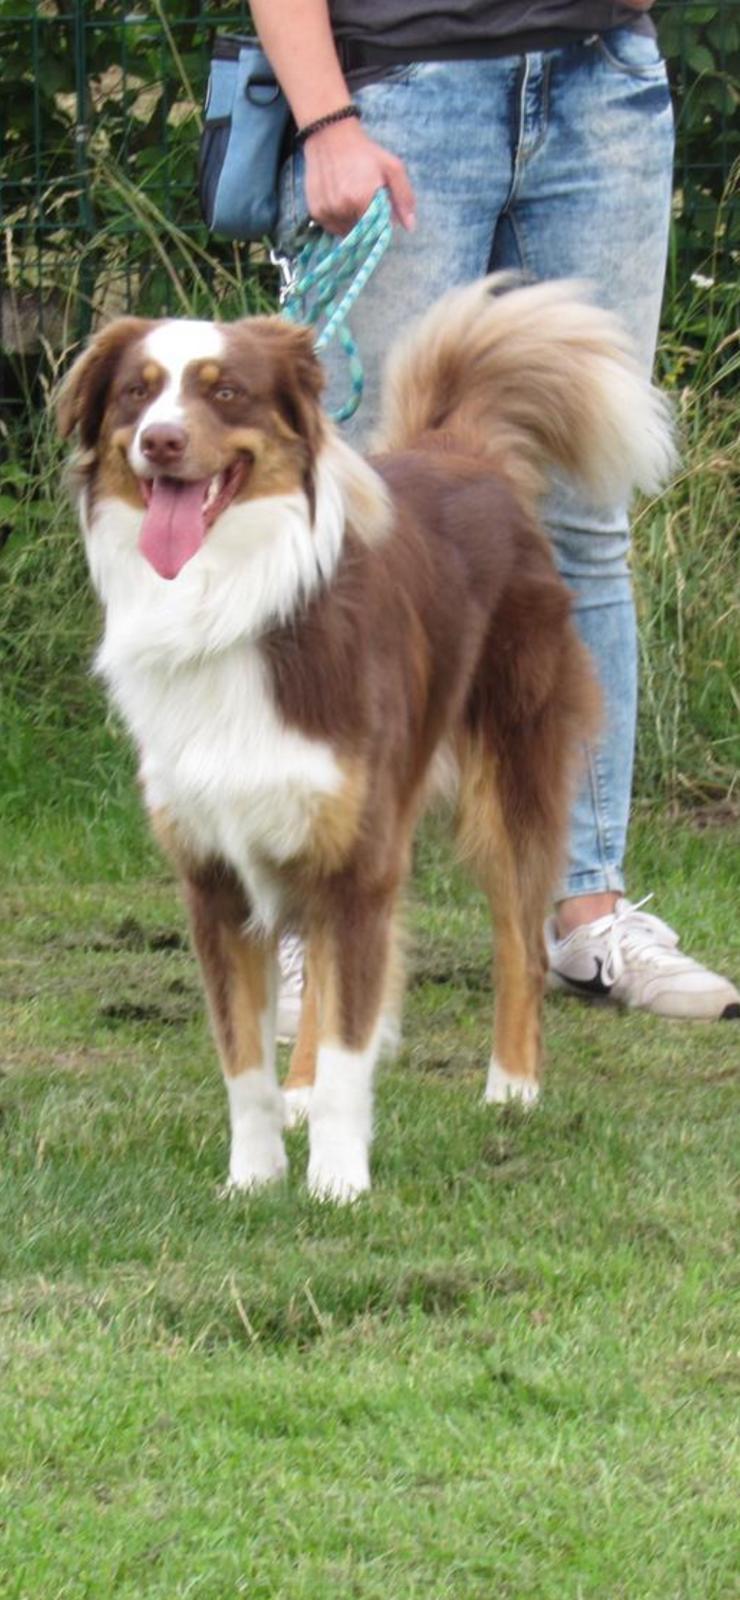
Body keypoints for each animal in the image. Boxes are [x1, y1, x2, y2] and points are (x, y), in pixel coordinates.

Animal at [57, 275, 673, 1201]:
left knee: (520, 946)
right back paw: (304, 1088)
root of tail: (464, 450)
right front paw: (254, 1178)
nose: (161, 441)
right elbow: (242, 1060)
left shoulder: (360, 862)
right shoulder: (216, 877)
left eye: (225, 392)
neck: (230, 597)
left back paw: (512, 1088)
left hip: (511, 780)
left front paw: (339, 1186)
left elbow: (353, 1048)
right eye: (137, 391)